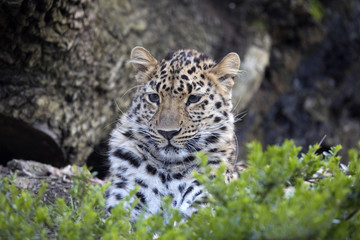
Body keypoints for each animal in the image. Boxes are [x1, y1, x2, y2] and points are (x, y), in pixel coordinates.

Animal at [105, 46, 240, 220]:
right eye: (154, 97)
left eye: (194, 99)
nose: (167, 133)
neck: (170, 169)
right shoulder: (124, 196)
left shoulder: (205, 201)